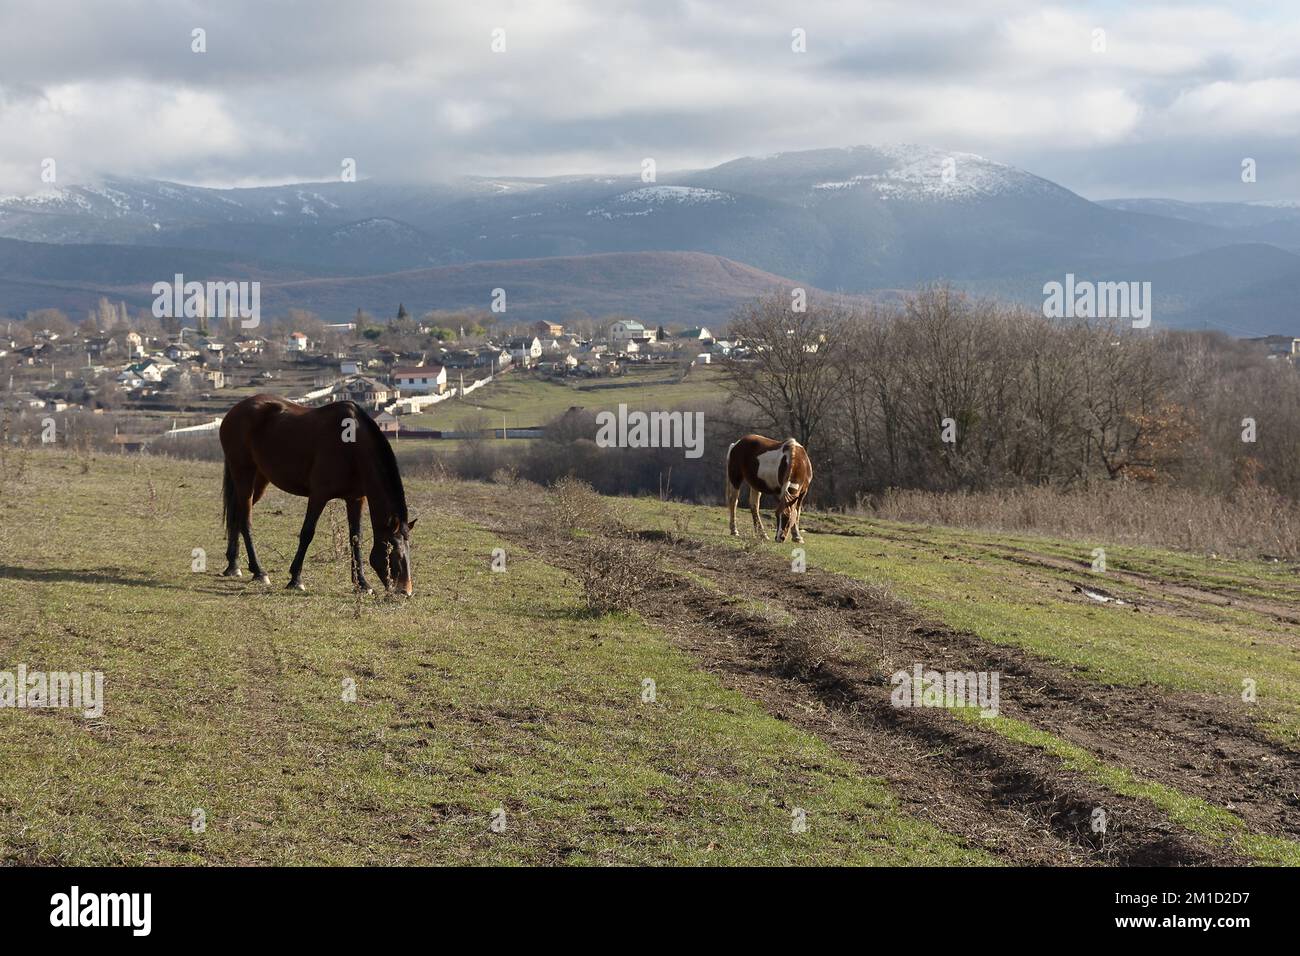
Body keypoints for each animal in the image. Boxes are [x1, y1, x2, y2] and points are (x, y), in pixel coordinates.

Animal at [218, 394, 417, 595]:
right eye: (395, 551)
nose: (406, 591)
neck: (352, 447)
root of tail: (235, 410)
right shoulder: (318, 495)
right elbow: (307, 533)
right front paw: (296, 579)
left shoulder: (355, 499)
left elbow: (356, 538)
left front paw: (362, 583)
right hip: (243, 474)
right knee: (245, 521)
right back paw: (259, 571)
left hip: (259, 481)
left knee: (236, 516)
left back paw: (233, 565)